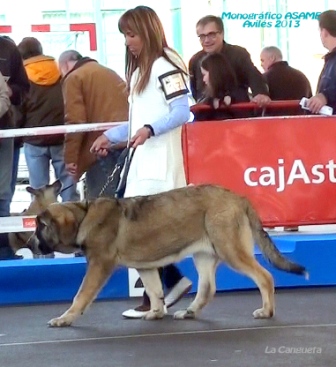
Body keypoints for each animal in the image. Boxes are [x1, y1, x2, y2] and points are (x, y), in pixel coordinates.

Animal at [27, 184, 308, 328]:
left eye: (41, 227)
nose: (29, 243)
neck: (83, 215)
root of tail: (239, 198)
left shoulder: (99, 264)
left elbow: (81, 295)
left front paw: (65, 318)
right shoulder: (145, 267)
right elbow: (154, 290)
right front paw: (156, 312)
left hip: (231, 249)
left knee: (265, 277)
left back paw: (267, 311)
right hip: (204, 255)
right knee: (207, 288)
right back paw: (190, 312)